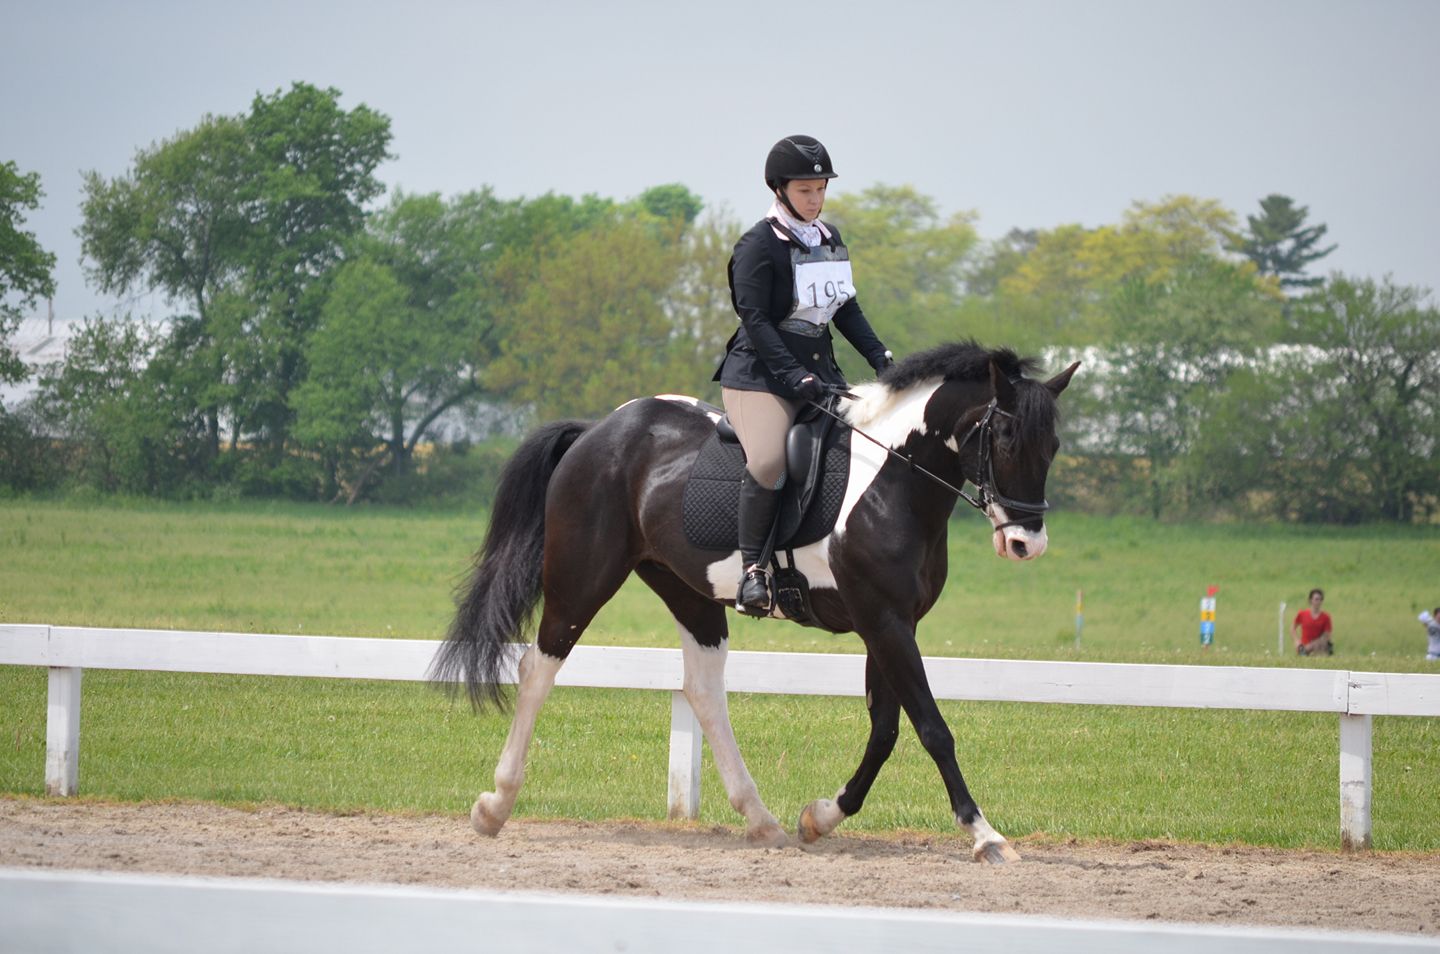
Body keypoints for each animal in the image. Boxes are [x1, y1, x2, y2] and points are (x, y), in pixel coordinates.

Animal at [431, 342, 1079, 864]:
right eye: (1005, 437)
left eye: (1053, 445)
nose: (1027, 543)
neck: (892, 477)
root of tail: (598, 431)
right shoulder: (884, 622)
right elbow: (930, 728)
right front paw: (985, 835)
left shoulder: (892, 624)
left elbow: (886, 730)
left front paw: (821, 817)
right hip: (582, 578)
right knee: (538, 667)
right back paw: (494, 806)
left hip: (686, 590)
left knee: (702, 689)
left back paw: (762, 819)